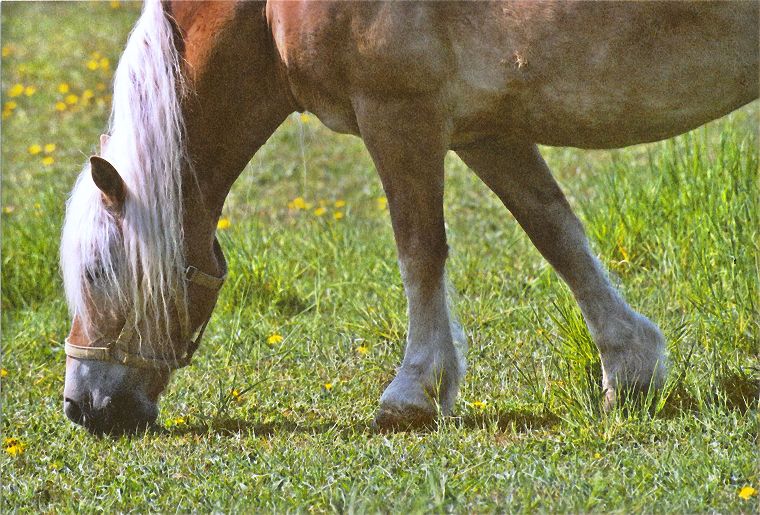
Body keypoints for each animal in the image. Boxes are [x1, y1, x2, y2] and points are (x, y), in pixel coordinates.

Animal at [60, 0, 758, 434]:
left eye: (96, 272)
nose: (81, 405)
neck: (266, 11)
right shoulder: (487, 131)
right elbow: (555, 233)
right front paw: (630, 368)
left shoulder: (397, 114)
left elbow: (419, 249)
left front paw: (412, 393)